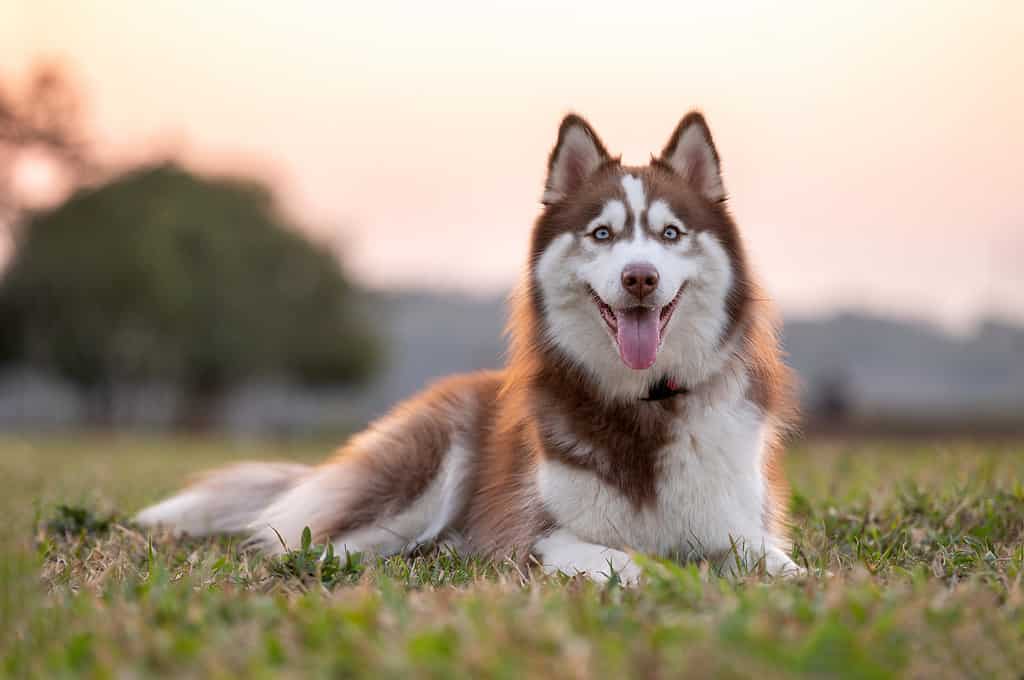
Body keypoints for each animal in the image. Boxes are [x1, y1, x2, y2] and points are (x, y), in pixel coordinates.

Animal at [136, 111, 798, 577]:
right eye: (602, 234)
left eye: (670, 234)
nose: (640, 277)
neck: (645, 406)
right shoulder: (540, 537)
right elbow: (635, 563)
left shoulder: (744, 529)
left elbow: (784, 568)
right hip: (428, 464)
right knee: (316, 542)